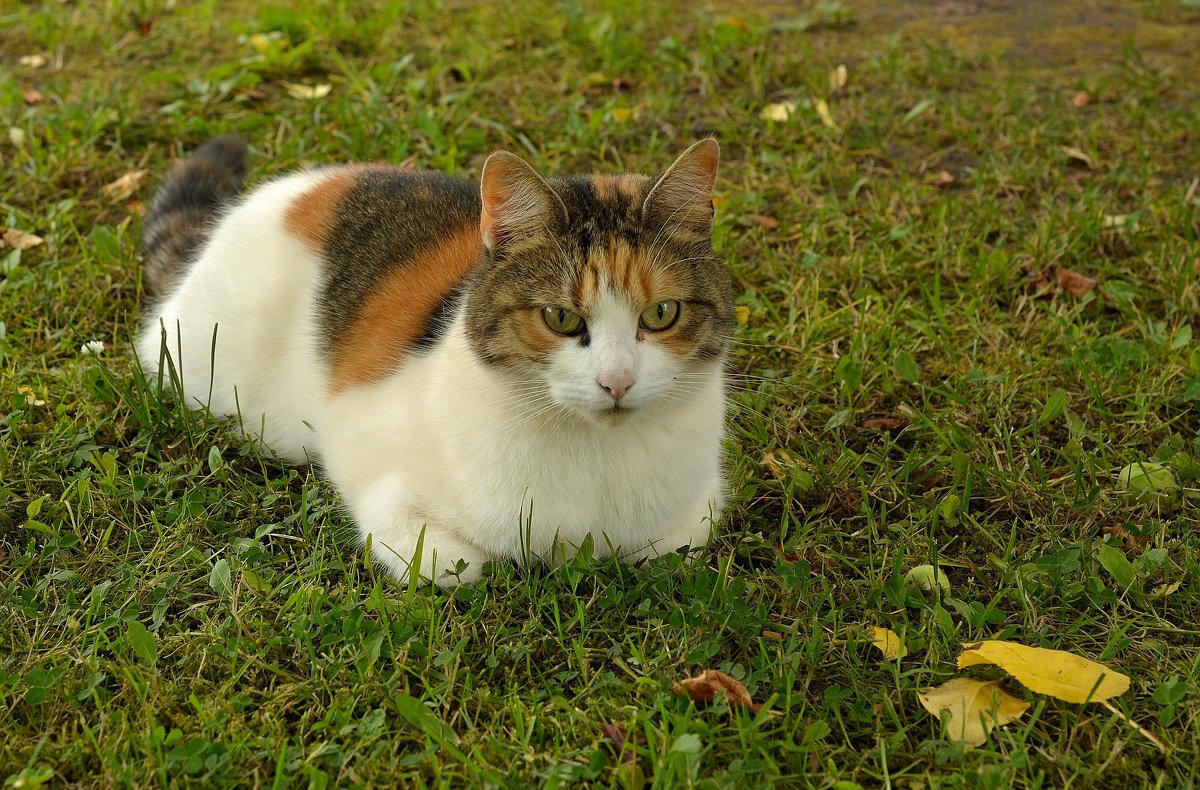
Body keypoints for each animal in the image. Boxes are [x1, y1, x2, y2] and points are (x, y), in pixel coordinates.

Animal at [137, 133, 734, 583]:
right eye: (560, 318)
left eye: (661, 313)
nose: (617, 381)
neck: (596, 457)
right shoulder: (363, 453)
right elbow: (450, 563)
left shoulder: (697, 511)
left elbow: (670, 545)